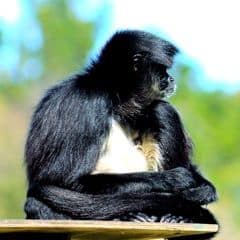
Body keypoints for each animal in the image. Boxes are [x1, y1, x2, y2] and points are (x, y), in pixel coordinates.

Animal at [25, 29, 218, 238]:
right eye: (162, 71)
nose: (171, 79)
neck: (115, 99)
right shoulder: (87, 103)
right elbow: (63, 182)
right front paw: (174, 179)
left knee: (161, 109)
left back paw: (179, 217)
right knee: (36, 202)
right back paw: (128, 216)